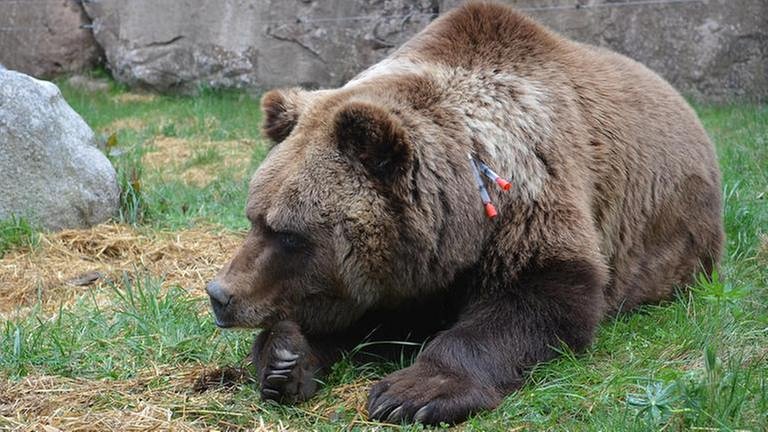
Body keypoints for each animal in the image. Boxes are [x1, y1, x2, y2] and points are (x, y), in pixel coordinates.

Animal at [204, 0, 720, 426]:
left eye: (290, 233)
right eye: (254, 217)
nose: (220, 294)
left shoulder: (533, 199)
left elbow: (540, 299)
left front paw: (412, 392)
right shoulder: (395, 277)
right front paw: (283, 358)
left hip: (679, 237)